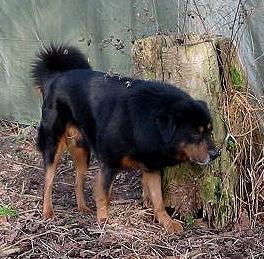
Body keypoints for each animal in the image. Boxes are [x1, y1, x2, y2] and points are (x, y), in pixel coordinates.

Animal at [32, 43, 220, 235]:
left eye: (209, 131)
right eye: (196, 133)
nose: (216, 154)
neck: (145, 121)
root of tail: (55, 77)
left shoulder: (152, 167)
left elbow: (158, 200)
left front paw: (167, 222)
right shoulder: (109, 163)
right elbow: (102, 193)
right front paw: (103, 219)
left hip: (81, 151)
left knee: (78, 181)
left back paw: (82, 207)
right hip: (53, 145)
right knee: (48, 181)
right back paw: (48, 212)